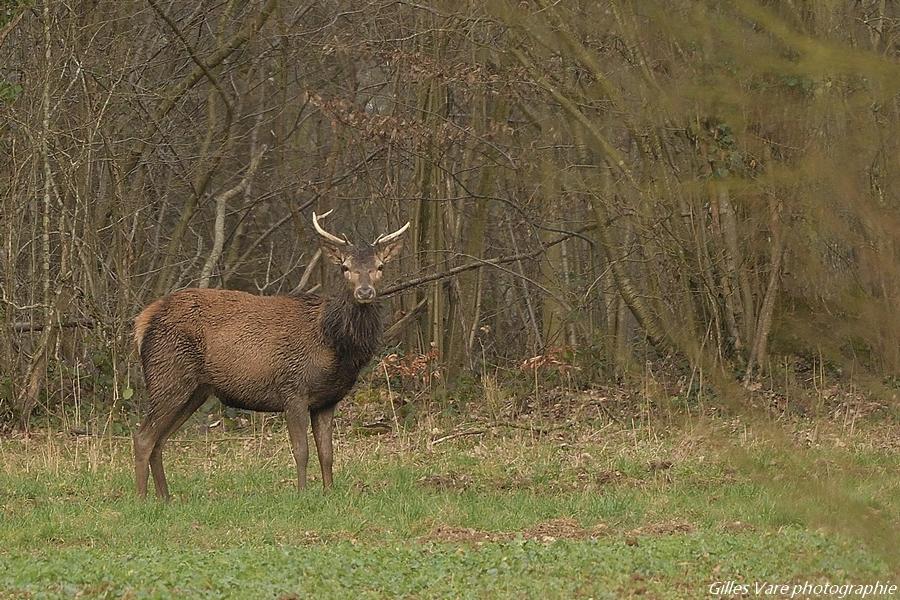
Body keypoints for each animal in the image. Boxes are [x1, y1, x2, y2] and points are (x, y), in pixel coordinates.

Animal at [132, 211, 410, 502]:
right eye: (345, 267)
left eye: (380, 266)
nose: (365, 291)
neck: (332, 344)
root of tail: (143, 321)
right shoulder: (292, 388)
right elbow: (301, 451)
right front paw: (302, 493)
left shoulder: (327, 400)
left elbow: (327, 453)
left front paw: (329, 492)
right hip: (168, 376)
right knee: (143, 437)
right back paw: (142, 499)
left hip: (195, 390)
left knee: (160, 439)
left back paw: (165, 498)